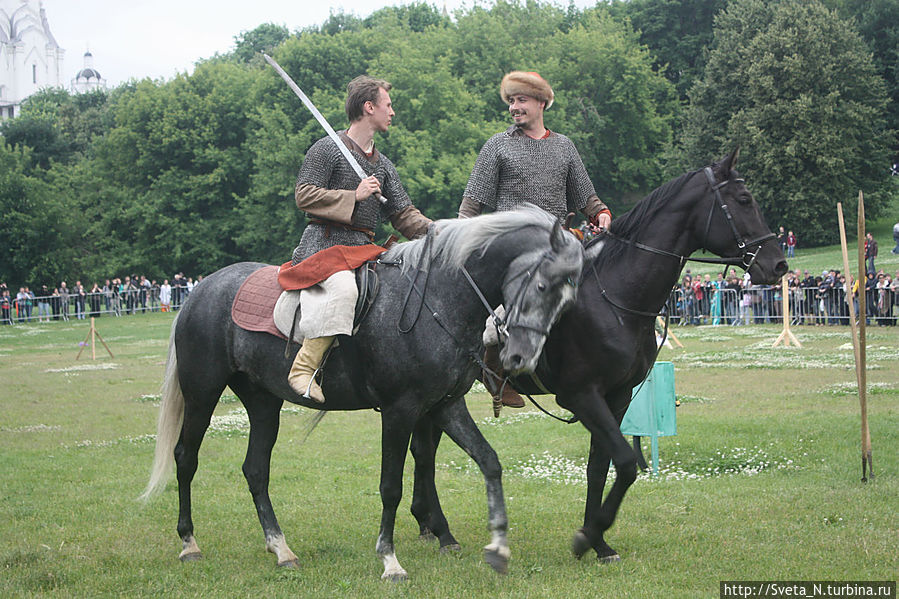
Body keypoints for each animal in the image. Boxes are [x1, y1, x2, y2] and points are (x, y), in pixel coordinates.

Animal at [141, 206, 588, 580]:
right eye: (542, 285)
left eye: (568, 301)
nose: (520, 358)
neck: (438, 298)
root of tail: (199, 291)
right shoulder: (400, 411)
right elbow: (391, 486)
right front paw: (390, 561)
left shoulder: (445, 406)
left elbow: (489, 462)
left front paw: (498, 547)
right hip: (202, 395)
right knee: (186, 459)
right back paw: (189, 543)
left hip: (264, 403)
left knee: (255, 470)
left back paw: (281, 549)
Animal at [408, 149, 788, 564]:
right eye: (744, 200)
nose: (778, 264)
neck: (615, 297)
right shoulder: (582, 395)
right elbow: (625, 462)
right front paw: (588, 536)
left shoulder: (616, 396)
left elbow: (600, 467)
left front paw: (598, 541)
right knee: (424, 451)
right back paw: (440, 530)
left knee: (423, 449)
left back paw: (425, 521)